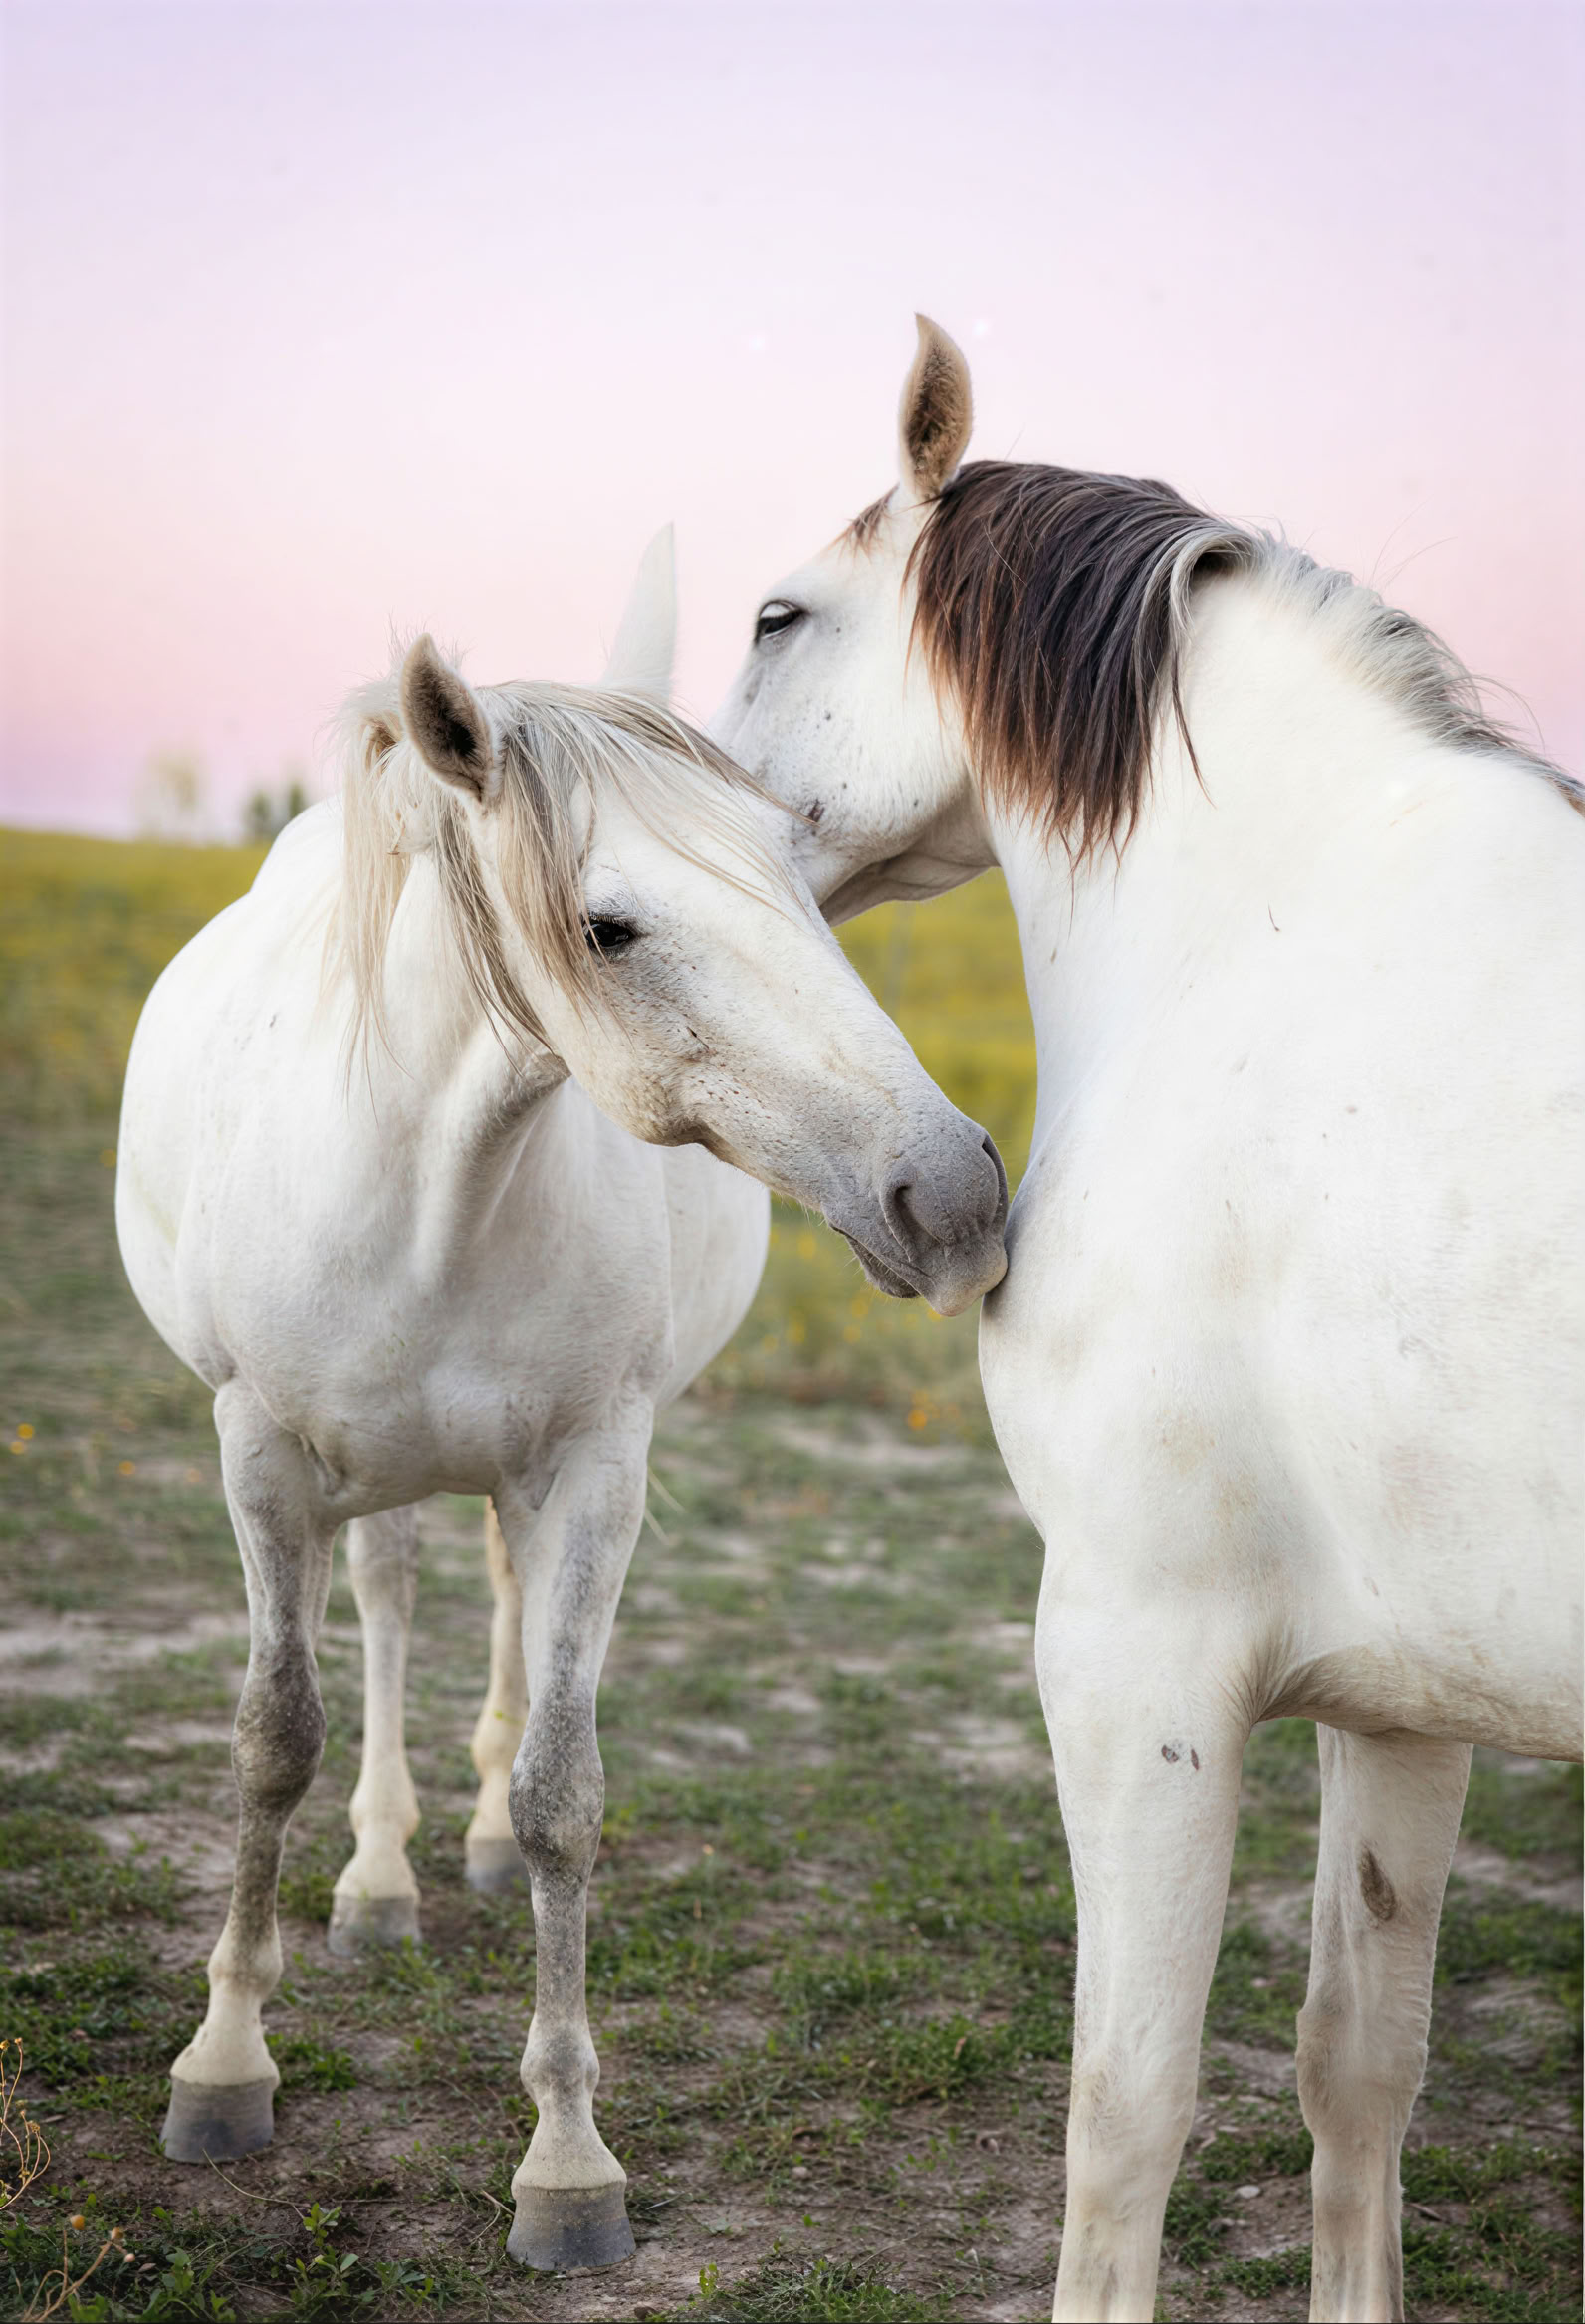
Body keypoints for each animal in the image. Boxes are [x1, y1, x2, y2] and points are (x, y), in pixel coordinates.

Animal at [114, 534, 1008, 2273]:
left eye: (802, 875)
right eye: (609, 926)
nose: (953, 1192)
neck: (427, 1182)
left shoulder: (596, 1466)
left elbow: (560, 1794)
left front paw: (568, 2159)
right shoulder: (258, 1453)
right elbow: (272, 1739)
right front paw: (225, 2061)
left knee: (499, 1614)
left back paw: (441, 1849)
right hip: (357, 1475)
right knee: (389, 1603)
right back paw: (380, 1881)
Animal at [711, 320, 1585, 2323]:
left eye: (780, 616)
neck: (1279, 948)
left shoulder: (1135, 1655)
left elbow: (1125, 2111)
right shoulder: (1403, 1694)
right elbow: (1359, 2067)